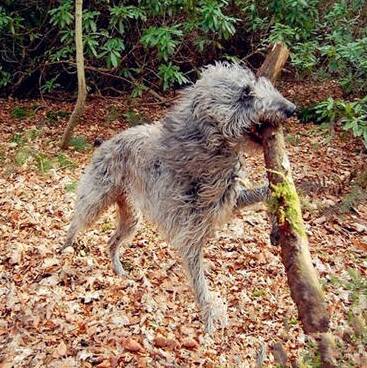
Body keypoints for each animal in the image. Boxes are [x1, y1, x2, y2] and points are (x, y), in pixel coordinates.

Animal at [62, 63, 296, 334]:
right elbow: (200, 283)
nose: (291, 109)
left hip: (131, 216)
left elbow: (260, 194)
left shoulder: (224, 202)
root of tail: (108, 141)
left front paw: (285, 195)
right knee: (76, 222)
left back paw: (118, 270)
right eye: (246, 92)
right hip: (95, 200)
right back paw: (63, 250)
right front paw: (209, 319)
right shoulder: (190, 235)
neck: (205, 146)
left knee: (111, 242)